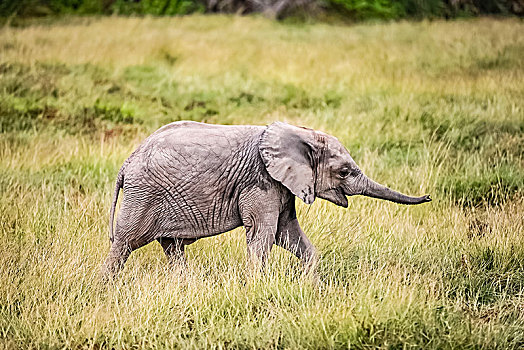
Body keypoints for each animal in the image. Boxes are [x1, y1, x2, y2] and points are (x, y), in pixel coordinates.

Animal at [102, 120, 430, 276]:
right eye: (345, 172)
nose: (428, 197)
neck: (300, 133)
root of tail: (126, 163)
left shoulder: (282, 186)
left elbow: (288, 234)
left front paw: (310, 286)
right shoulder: (261, 182)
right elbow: (265, 233)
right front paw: (255, 287)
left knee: (172, 248)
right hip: (143, 195)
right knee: (125, 243)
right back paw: (106, 287)